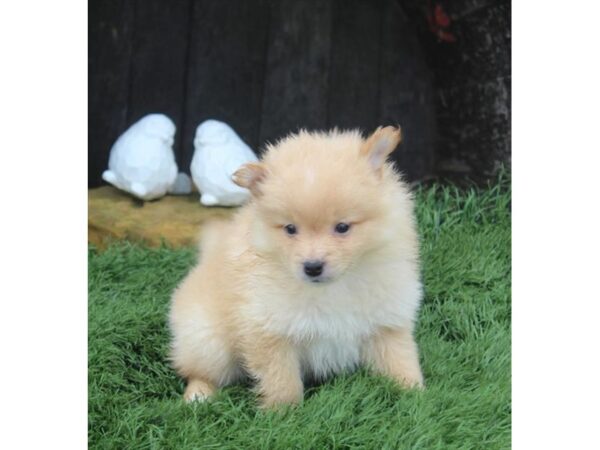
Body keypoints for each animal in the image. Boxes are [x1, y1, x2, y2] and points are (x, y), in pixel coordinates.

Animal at [168, 125, 422, 406]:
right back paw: (198, 395)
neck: (334, 288)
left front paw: (416, 396)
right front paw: (284, 411)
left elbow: (400, 360)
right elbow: (282, 379)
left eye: (342, 227)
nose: (312, 267)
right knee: (199, 371)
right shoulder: (269, 330)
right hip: (208, 342)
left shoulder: (387, 323)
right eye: (290, 229)